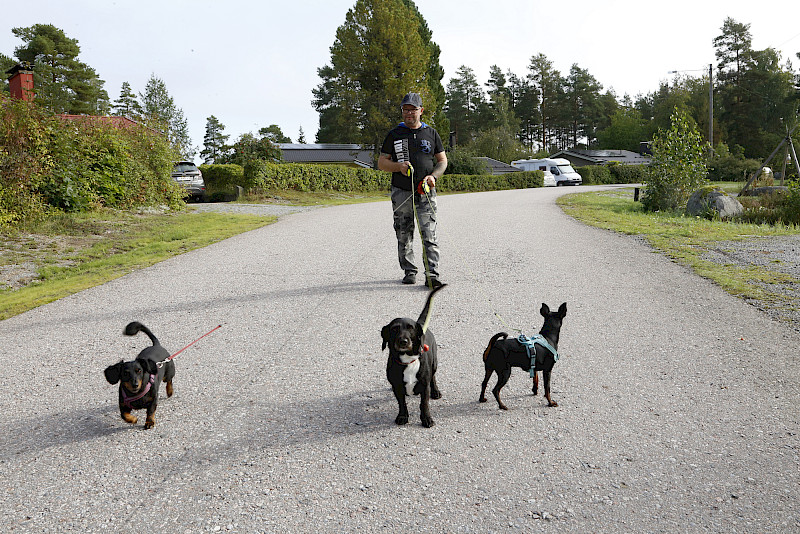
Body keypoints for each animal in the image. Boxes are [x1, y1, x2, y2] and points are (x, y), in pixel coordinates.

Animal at [382, 286, 446, 430]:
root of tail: (421, 323)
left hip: (434, 363)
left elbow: (424, 404)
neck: (407, 361)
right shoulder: (398, 387)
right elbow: (401, 403)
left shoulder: (424, 386)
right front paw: (402, 417)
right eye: (394, 329)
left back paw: (436, 391)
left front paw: (427, 419)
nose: (403, 341)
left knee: (433, 376)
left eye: (411, 328)